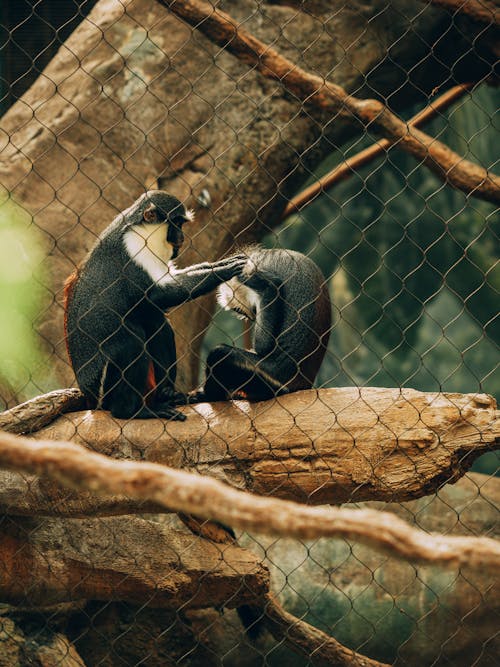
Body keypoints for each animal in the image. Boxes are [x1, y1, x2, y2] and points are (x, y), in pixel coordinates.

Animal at [65, 190, 246, 420]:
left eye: (181, 224)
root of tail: (88, 395)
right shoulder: (134, 247)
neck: (141, 228)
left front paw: (221, 264)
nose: (181, 237)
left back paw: (166, 394)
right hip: (104, 388)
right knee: (131, 341)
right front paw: (223, 270)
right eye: (176, 223)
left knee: (155, 321)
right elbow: (156, 294)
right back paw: (131, 411)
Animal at [192, 247, 332, 402]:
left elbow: (263, 345)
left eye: (238, 310)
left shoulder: (247, 274)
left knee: (220, 354)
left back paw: (209, 396)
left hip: (269, 380)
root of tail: (303, 384)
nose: (249, 316)